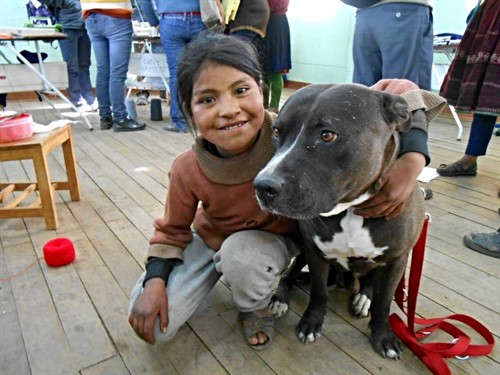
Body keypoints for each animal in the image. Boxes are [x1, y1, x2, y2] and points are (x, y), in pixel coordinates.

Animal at [254, 83, 426, 360]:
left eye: (327, 136)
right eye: (277, 132)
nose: (262, 186)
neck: (351, 210)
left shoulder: (397, 261)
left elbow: (383, 303)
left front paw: (383, 336)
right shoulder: (314, 251)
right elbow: (319, 292)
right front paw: (311, 323)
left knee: (371, 284)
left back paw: (364, 297)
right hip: (303, 250)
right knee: (292, 273)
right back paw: (281, 296)